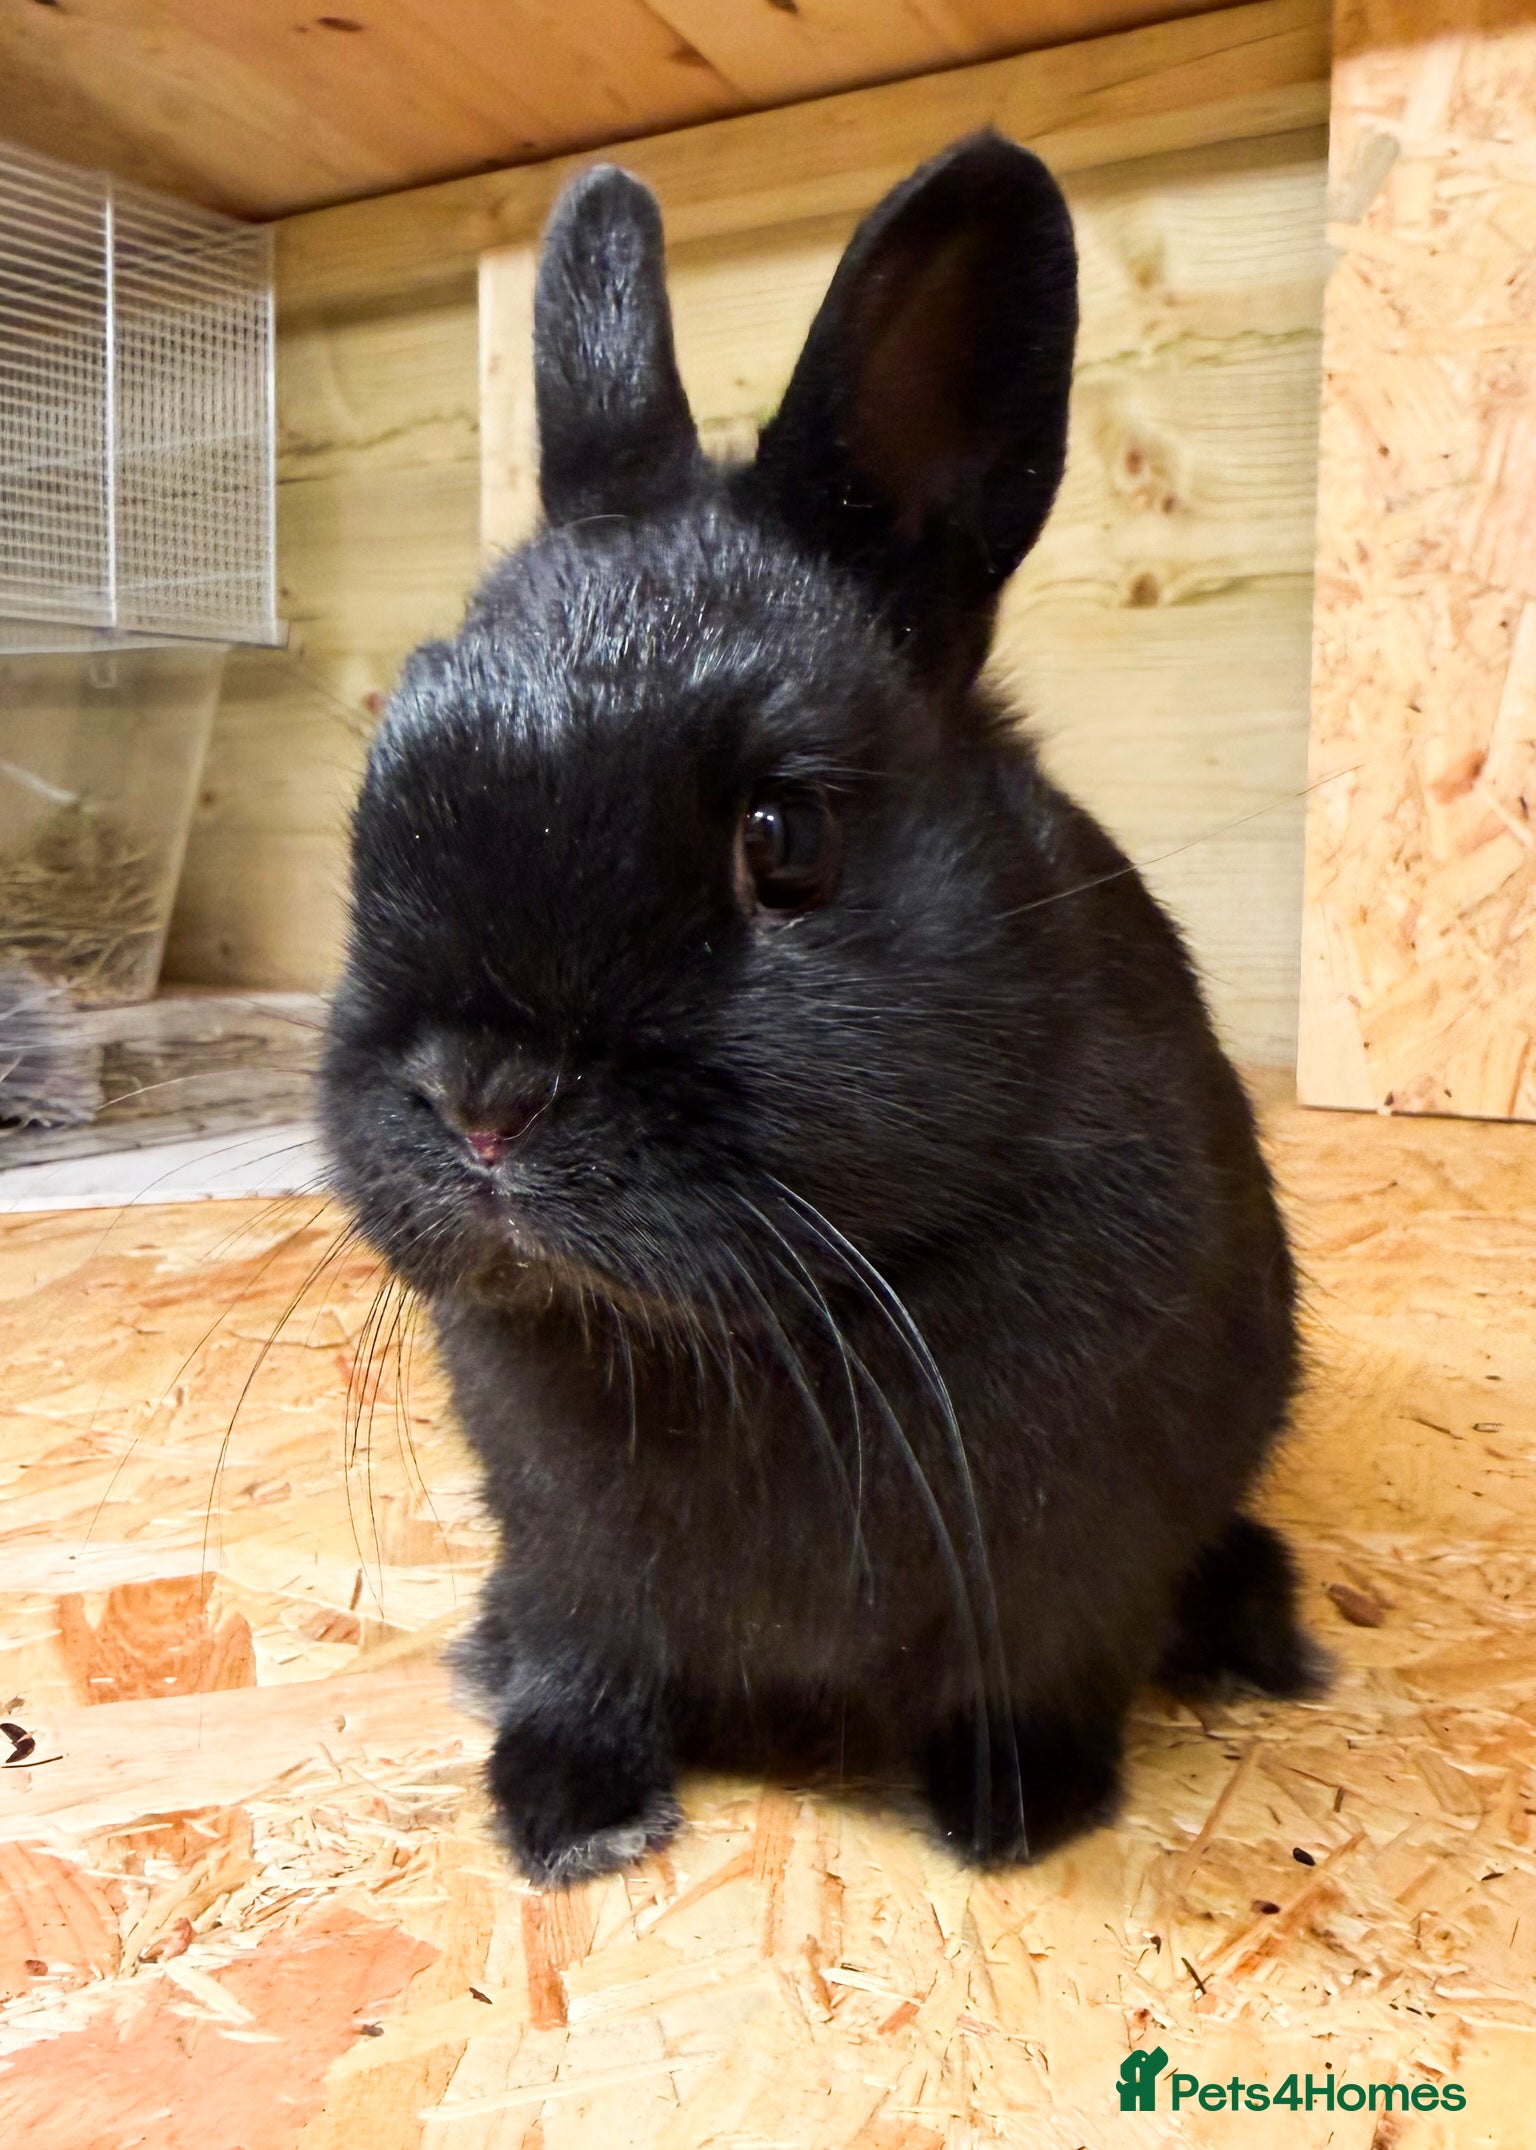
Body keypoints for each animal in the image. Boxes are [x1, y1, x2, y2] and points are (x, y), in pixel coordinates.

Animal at [320, 131, 1321, 1888]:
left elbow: (1040, 1664)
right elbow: (582, 1652)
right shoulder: (568, 1560)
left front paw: (1018, 1808)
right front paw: (564, 1808)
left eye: (783, 839)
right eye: (373, 793)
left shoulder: (1067, 1571)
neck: (728, 1337)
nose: (482, 1097)